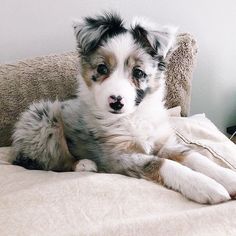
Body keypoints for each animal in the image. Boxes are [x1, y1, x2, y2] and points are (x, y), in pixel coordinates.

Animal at [11, 12, 236, 203]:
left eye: (138, 72)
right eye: (102, 69)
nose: (116, 102)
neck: (133, 116)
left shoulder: (163, 143)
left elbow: (193, 156)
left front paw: (227, 178)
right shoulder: (118, 156)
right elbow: (162, 163)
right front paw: (204, 185)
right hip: (43, 118)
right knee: (54, 161)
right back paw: (84, 164)